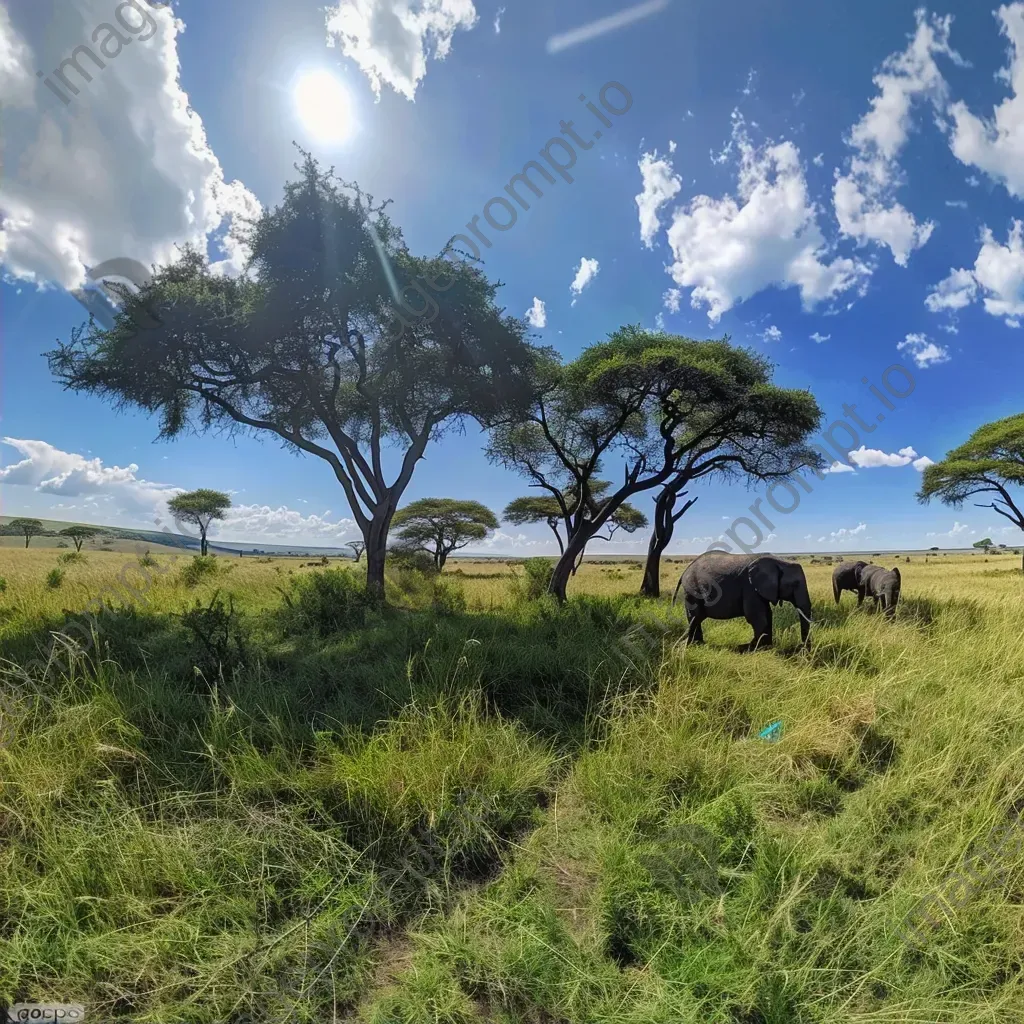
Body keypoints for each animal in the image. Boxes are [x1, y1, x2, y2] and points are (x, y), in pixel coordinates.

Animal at [675, 552, 811, 647]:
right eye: (795, 584)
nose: (801, 647)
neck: (780, 561)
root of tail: (685, 570)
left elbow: (767, 614)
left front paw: (766, 647)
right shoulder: (749, 587)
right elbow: (756, 617)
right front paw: (751, 647)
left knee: (696, 618)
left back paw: (699, 644)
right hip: (692, 589)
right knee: (695, 617)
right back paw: (691, 645)